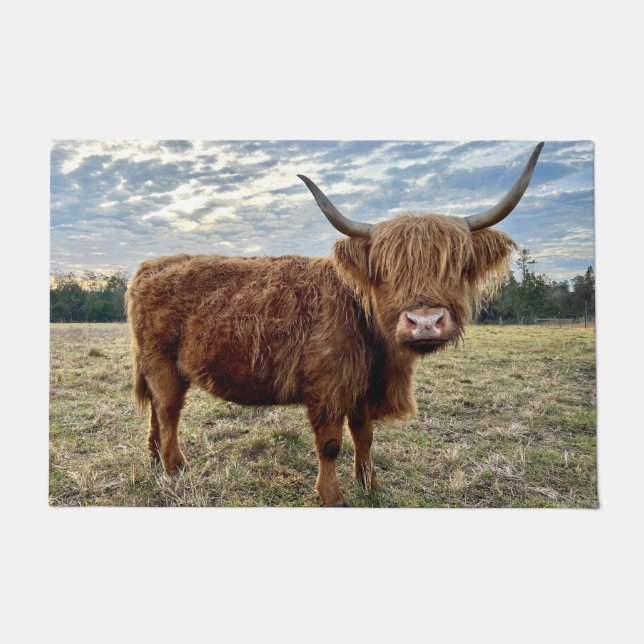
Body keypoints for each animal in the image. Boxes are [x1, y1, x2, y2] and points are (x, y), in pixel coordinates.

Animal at [126, 142, 544, 506]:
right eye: (385, 271)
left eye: (455, 266)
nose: (424, 321)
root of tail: (151, 265)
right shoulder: (327, 387)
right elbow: (330, 445)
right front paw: (333, 497)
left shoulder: (363, 389)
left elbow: (365, 437)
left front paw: (370, 484)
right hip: (163, 363)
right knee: (169, 410)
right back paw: (175, 467)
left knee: (157, 410)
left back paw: (154, 457)